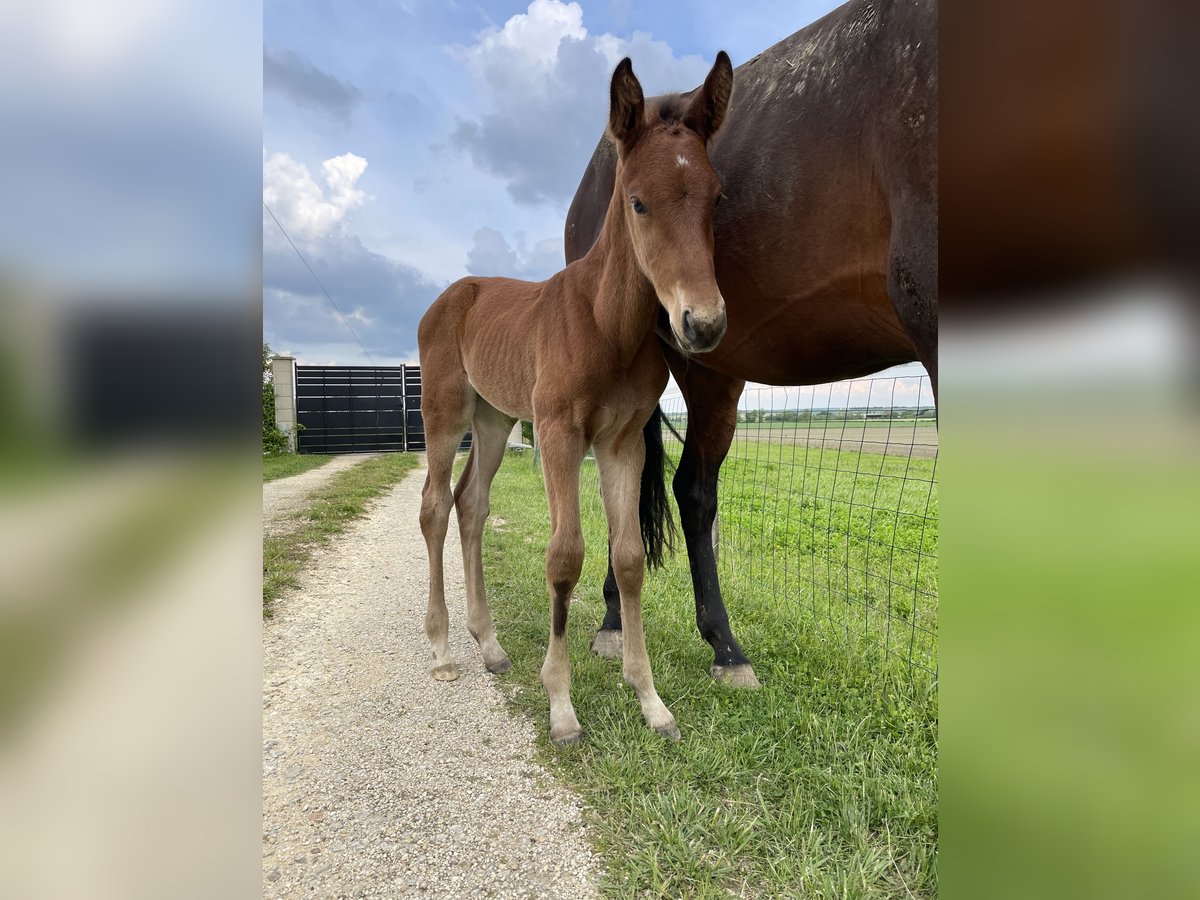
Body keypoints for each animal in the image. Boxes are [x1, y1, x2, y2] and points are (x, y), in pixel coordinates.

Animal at [417, 54, 734, 748]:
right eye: (638, 202)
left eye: (717, 197)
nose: (703, 323)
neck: (606, 325)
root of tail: (451, 295)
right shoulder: (560, 433)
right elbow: (565, 556)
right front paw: (561, 706)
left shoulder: (620, 442)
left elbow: (629, 558)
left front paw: (650, 701)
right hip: (445, 412)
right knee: (434, 507)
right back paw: (444, 649)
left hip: (495, 418)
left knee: (471, 505)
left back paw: (490, 646)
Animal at [564, 0, 936, 686]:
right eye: (636, 202)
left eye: (719, 199)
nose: (705, 322)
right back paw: (630, 625)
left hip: (717, 376)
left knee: (688, 489)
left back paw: (716, 645)